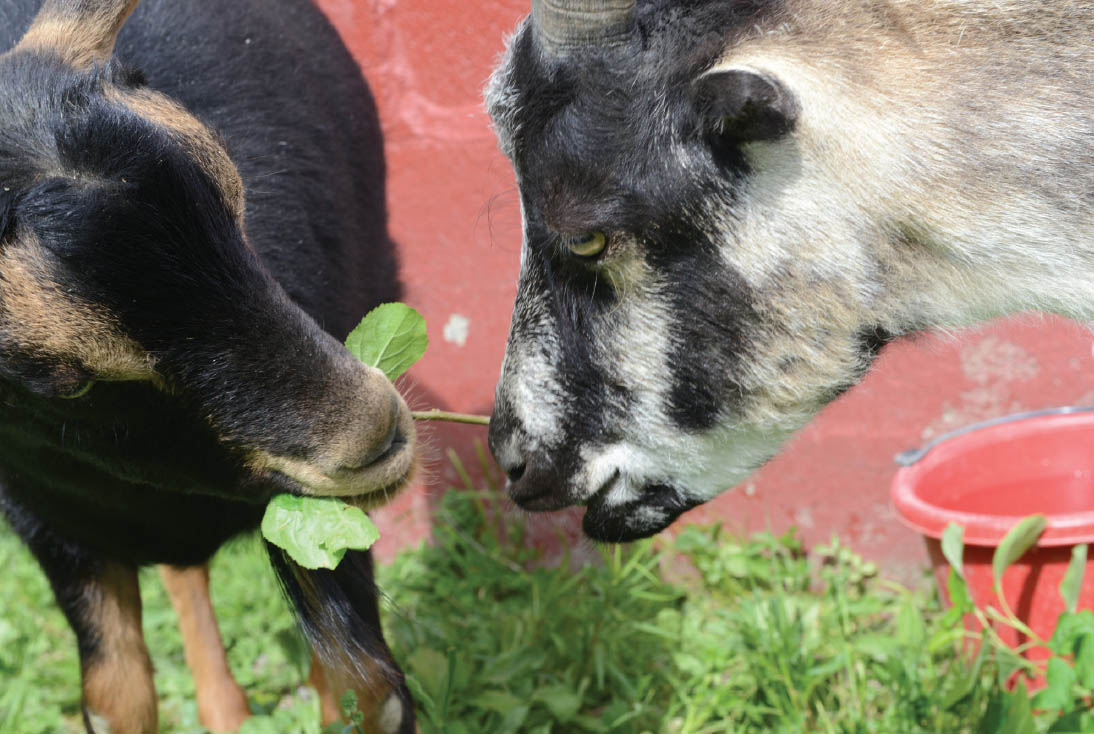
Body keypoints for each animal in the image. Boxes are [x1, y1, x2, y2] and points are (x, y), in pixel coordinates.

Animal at [0, 1, 415, 734]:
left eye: (235, 204)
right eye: (67, 381)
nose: (378, 432)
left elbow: (367, 689)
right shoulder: (46, 521)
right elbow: (115, 699)